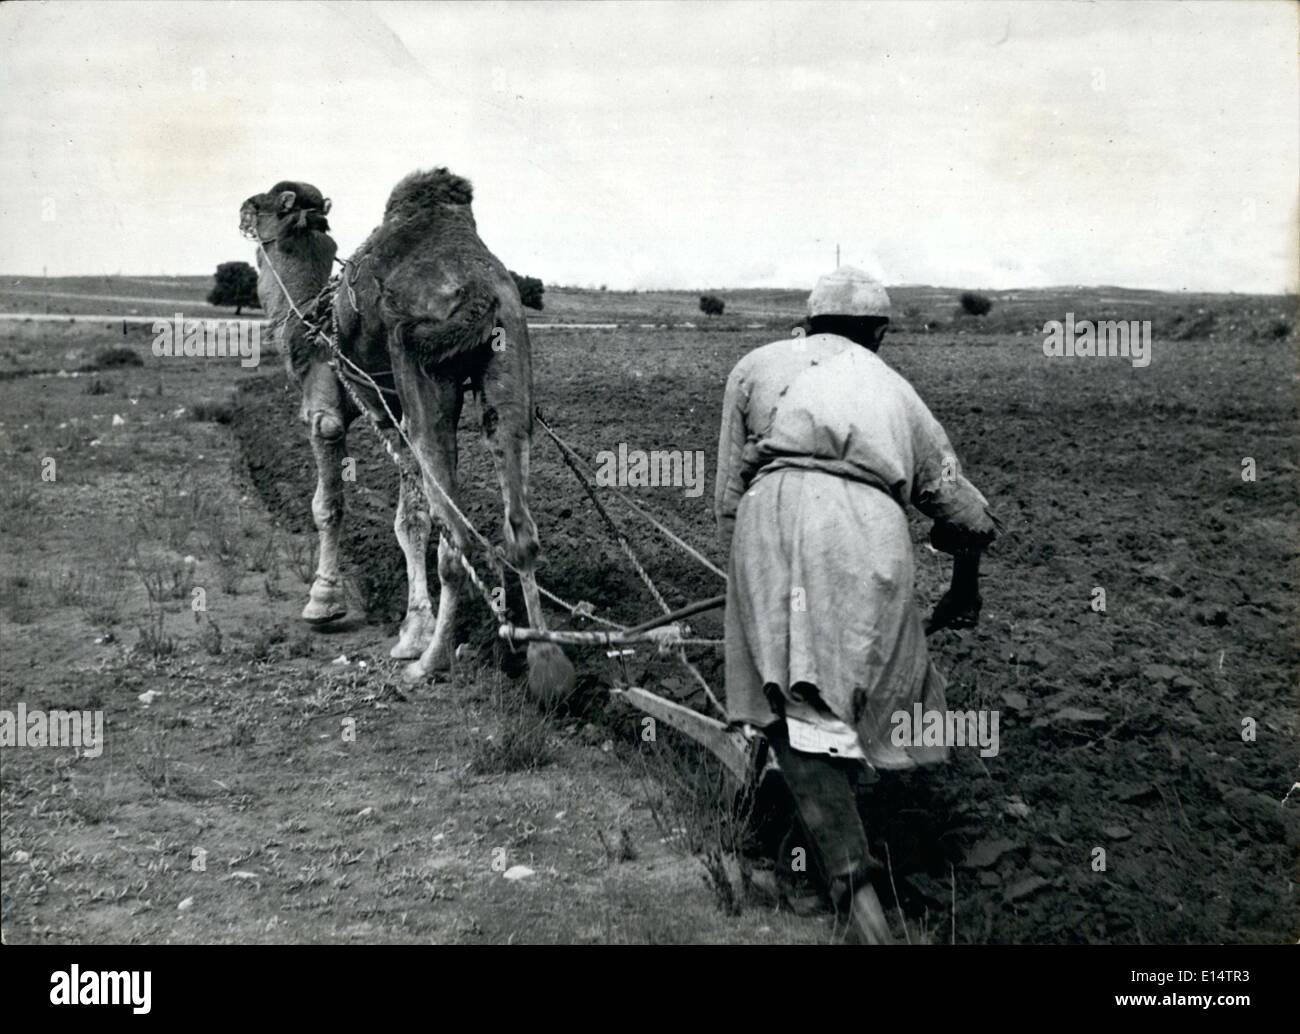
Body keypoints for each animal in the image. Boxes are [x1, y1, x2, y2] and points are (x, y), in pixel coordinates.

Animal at [240, 171, 574, 702]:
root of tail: (480, 286)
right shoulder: (390, 414)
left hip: (424, 370)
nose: (242, 209)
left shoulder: (326, 408)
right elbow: (410, 520)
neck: (309, 317)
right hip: (510, 358)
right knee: (519, 528)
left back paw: (432, 665)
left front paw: (324, 603)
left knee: (457, 539)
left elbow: (328, 505)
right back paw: (544, 664)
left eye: (266, 203)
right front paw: (411, 631)